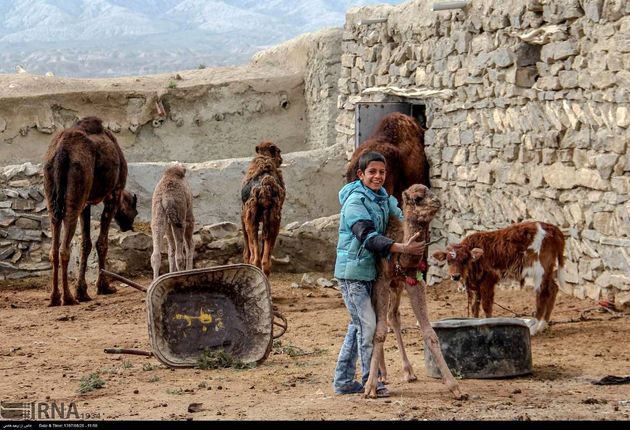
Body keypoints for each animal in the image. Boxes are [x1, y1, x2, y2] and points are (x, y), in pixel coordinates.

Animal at [43, 116, 139, 306]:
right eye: (135, 211)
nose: (129, 226)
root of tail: (62, 151)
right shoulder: (113, 194)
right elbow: (101, 242)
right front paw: (104, 287)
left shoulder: (86, 202)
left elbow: (85, 243)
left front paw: (82, 291)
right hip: (77, 183)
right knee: (65, 247)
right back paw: (68, 298)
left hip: (52, 189)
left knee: (54, 245)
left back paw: (55, 297)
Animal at [239, 139, 286, 278]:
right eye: (279, 151)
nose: (281, 159)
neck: (264, 157)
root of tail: (264, 188)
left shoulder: (243, 216)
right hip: (274, 222)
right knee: (265, 260)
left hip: (252, 221)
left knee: (256, 259)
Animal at [366, 184, 464, 400]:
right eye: (418, 198)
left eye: (430, 192)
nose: (437, 201)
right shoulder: (381, 280)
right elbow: (379, 332)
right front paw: (370, 387)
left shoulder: (413, 281)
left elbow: (430, 333)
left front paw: (455, 388)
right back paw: (382, 375)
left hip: (397, 285)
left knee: (392, 316)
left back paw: (407, 372)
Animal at [434, 222, 568, 336]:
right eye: (448, 261)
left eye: (464, 260)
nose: (455, 276)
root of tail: (552, 227)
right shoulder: (475, 285)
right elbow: (474, 307)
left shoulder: (488, 281)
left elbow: (486, 306)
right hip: (547, 270)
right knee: (553, 288)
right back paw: (543, 325)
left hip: (541, 269)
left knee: (542, 294)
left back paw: (534, 328)